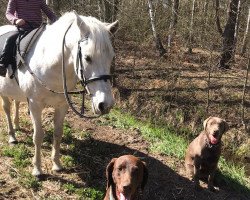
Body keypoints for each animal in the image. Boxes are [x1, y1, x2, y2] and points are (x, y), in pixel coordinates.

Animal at [0, 10, 116, 177]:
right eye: (87, 57)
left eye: (111, 57)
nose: (105, 104)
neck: (49, 63)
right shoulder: (35, 105)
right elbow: (38, 136)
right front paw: (37, 169)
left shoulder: (62, 105)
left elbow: (58, 133)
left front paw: (57, 164)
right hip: (3, 91)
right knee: (7, 109)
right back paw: (12, 136)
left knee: (16, 103)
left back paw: (16, 125)